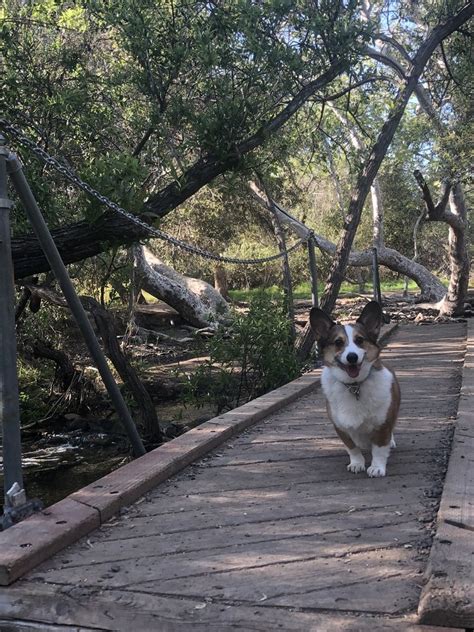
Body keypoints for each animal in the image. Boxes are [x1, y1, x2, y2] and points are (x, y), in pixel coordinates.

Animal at [312, 304, 400, 476]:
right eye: (338, 342)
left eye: (359, 340)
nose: (352, 357)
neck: (354, 385)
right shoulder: (341, 428)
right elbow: (352, 448)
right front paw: (357, 464)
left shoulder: (382, 424)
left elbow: (379, 449)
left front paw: (377, 467)